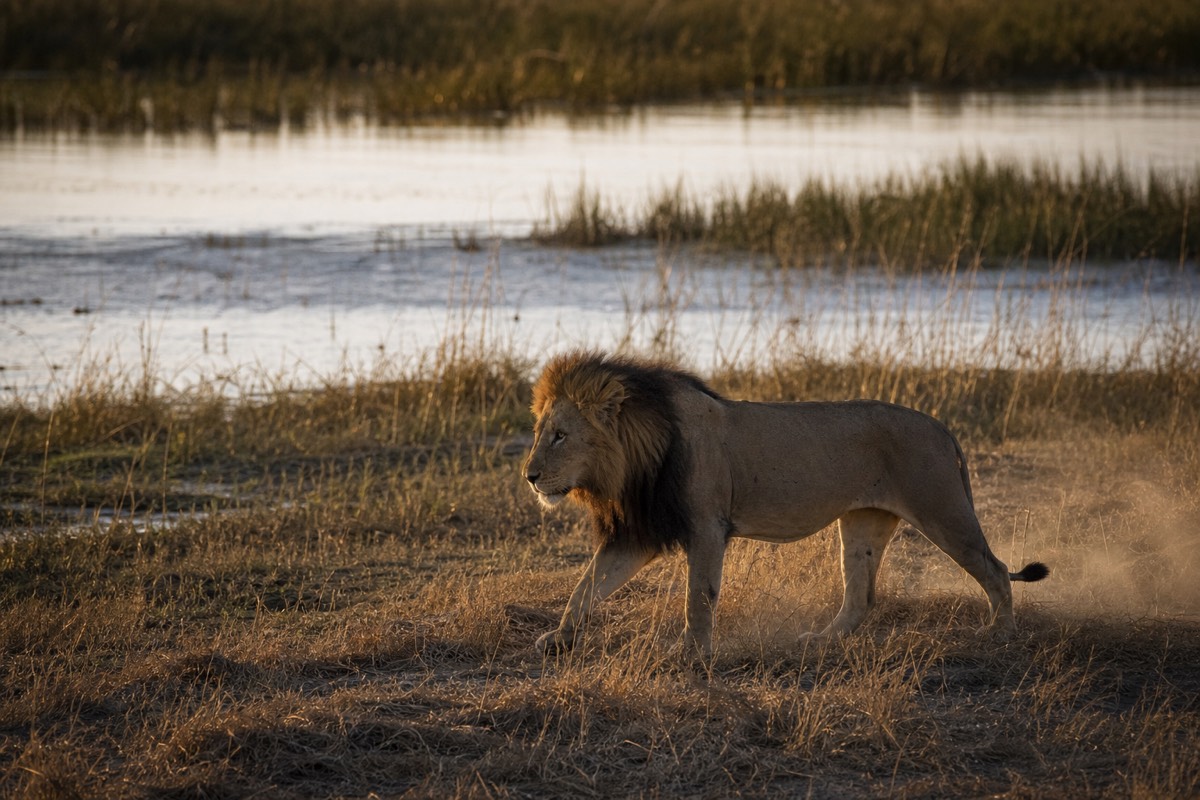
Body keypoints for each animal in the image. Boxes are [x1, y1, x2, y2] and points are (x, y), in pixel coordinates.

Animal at [522, 350, 1048, 659]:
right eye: (540, 432)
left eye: (560, 435)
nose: (529, 476)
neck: (635, 459)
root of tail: (940, 426)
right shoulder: (638, 534)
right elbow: (586, 586)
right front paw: (559, 639)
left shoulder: (707, 527)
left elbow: (699, 598)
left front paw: (692, 655)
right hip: (863, 523)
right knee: (861, 596)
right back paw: (823, 640)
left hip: (943, 511)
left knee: (995, 570)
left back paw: (1000, 633)